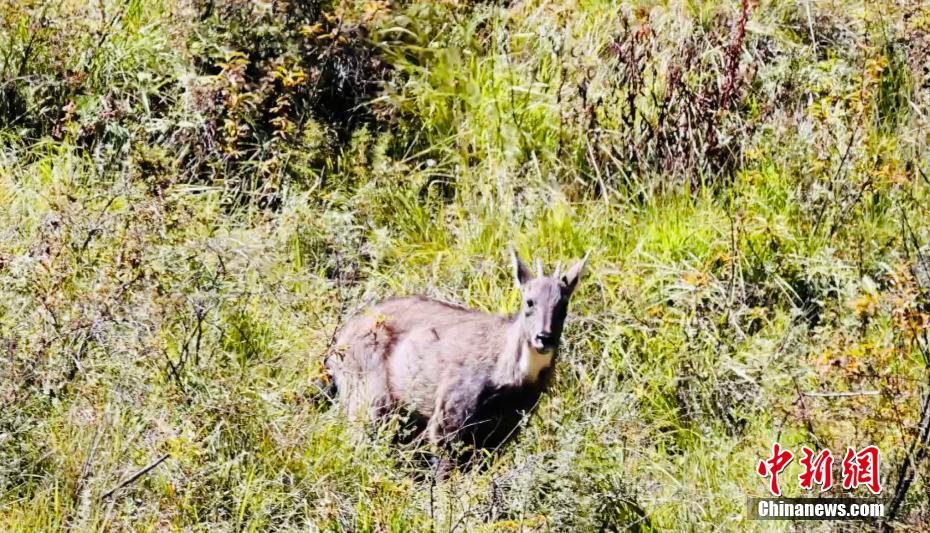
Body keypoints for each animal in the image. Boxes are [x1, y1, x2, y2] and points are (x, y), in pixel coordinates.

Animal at [323, 249, 589, 467]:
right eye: (529, 302)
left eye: (563, 306)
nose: (544, 337)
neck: (509, 374)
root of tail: (336, 346)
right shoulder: (448, 418)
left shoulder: (503, 429)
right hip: (369, 397)